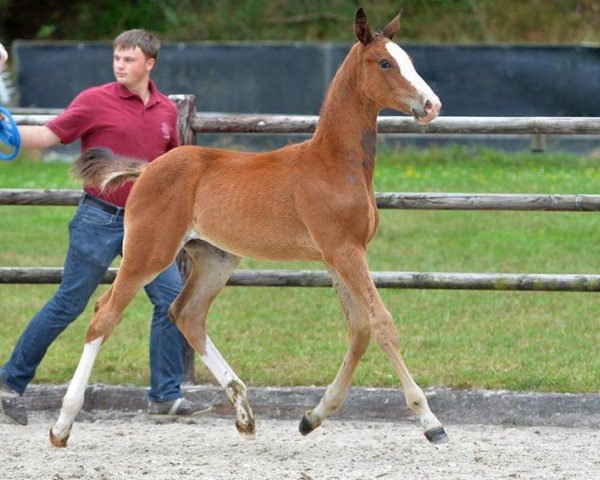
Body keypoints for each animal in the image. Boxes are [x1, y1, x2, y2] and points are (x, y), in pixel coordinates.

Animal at [50, 8, 446, 446]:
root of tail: (147, 168)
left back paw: (243, 411)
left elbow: (358, 329)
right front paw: (430, 421)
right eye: (384, 62)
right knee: (105, 314)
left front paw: (313, 416)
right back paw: (62, 424)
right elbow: (382, 324)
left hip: (216, 259)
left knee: (187, 314)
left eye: (407, 58)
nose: (431, 105)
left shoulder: (337, 256)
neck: (333, 163)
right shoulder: (344, 250)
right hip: (148, 251)